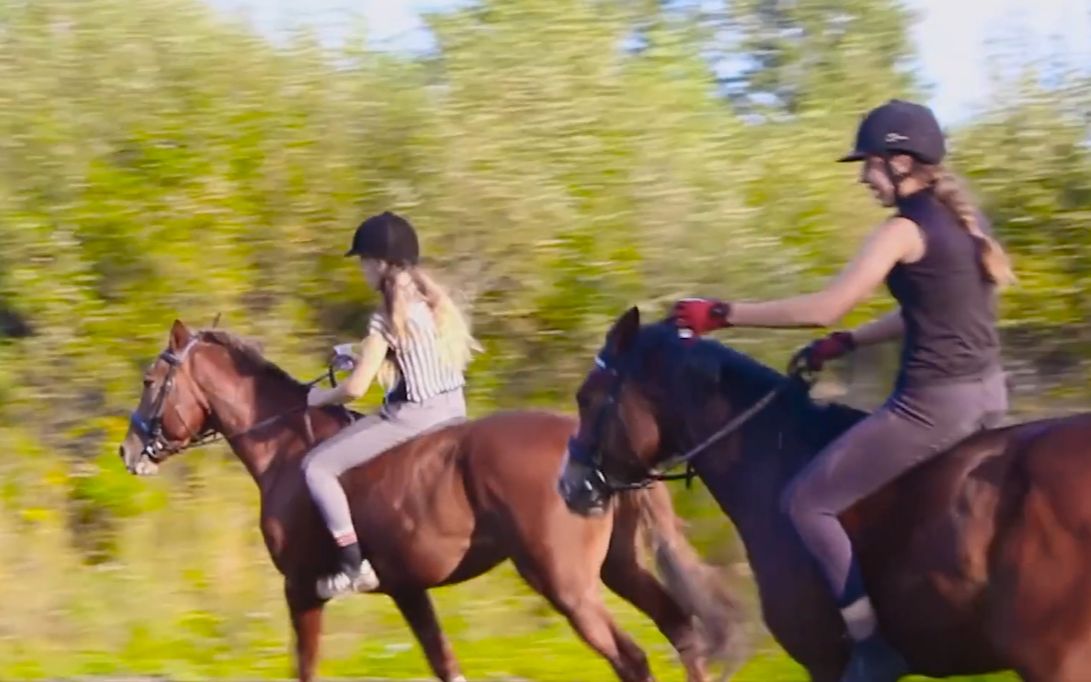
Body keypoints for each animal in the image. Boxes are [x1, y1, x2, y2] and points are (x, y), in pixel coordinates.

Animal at [117, 318, 741, 680]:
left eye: (150, 381)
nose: (128, 451)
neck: (286, 451)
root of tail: (592, 449)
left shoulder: (301, 589)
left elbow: (306, 668)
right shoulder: (408, 589)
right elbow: (445, 664)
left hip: (567, 584)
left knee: (632, 657)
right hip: (618, 568)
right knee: (682, 630)